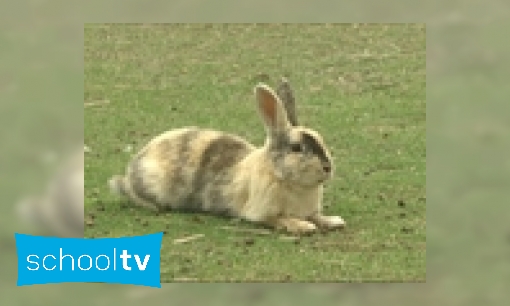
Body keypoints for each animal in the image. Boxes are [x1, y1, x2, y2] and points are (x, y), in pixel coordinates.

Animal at [109, 77, 344, 234]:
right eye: (296, 148)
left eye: (321, 139)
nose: (328, 167)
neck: (282, 176)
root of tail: (130, 170)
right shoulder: (261, 213)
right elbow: (279, 219)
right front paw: (304, 226)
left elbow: (317, 216)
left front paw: (334, 221)